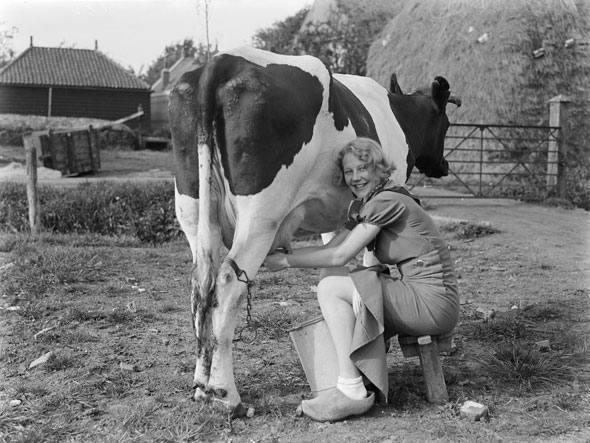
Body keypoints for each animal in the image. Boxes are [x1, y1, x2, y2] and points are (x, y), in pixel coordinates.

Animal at [169, 46, 460, 414]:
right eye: (446, 123)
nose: (444, 165)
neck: (396, 114)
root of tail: (222, 61)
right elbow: (370, 265)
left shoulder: (334, 219)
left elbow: (332, 266)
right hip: (260, 216)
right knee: (228, 282)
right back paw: (225, 395)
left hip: (192, 208)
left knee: (199, 286)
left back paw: (201, 386)